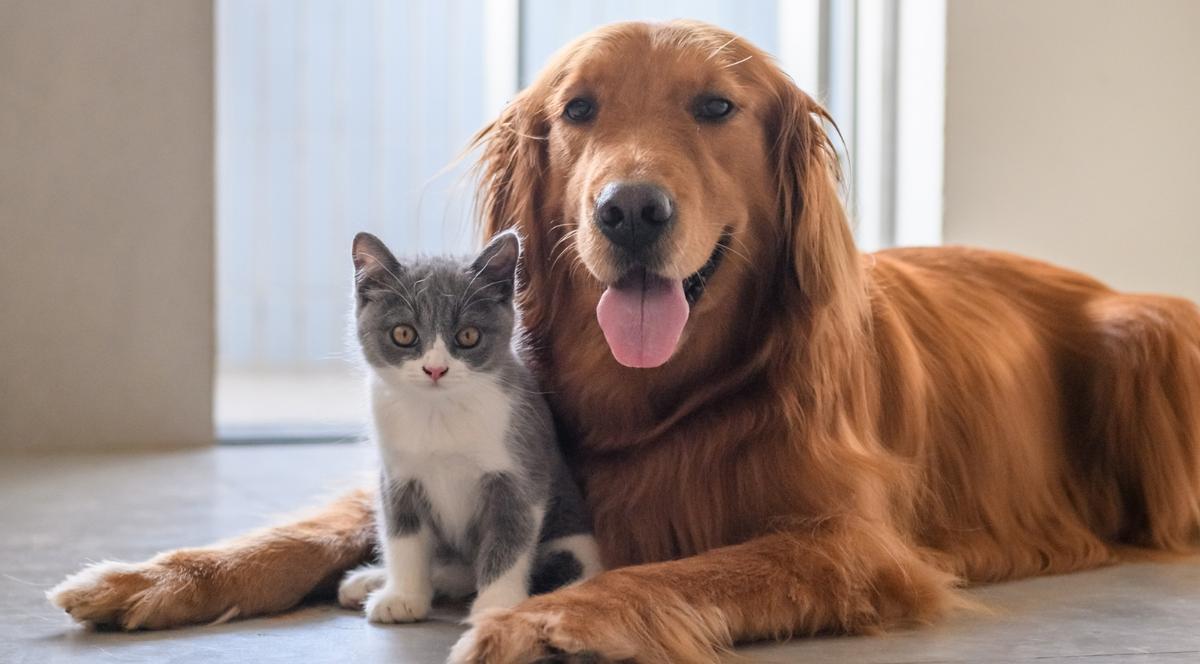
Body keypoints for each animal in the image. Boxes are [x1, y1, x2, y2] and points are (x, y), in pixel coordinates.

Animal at [336, 228, 600, 619]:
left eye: (468, 336)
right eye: (403, 334)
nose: (435, 369)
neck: (439, 413)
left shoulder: (519, 473)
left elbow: (508, 540)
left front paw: (496, 607)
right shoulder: (397, 476)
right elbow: (404, 537)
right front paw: (403, 595)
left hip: (573, 547)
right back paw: (371, 580)